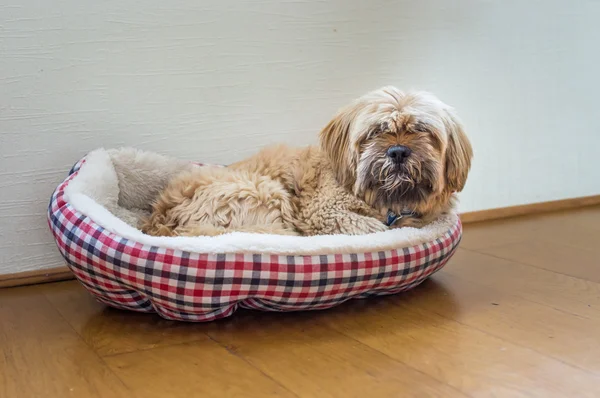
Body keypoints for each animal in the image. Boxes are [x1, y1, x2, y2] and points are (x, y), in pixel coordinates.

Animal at [142, 86, 474, 236]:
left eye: (421, 130)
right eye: (377, 132)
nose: (398, 152)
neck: (387, 202)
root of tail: (162, 217)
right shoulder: (323, 211)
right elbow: (368, 226)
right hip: (264, 193)